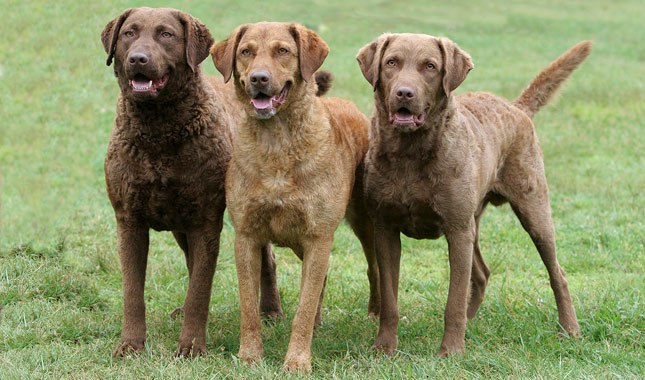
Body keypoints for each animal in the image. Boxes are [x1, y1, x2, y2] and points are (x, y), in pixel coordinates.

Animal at [100, 8, 282, 360]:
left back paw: (270, 311)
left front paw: (192, 346)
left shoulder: (205, 222)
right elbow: (133, 292)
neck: (158, 131)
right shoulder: (129, 220)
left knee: (264, 260)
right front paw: (130, 345)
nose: (137, 58)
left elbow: (200, 289)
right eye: (129, 33)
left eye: (166, 34)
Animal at [211, 23, 380, 372]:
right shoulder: (246, 235)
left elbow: (303, 306)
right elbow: (249, 306)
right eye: (245, 52)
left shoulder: (318, 236)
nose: (259, 78)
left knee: (373, 268)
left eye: (283, 51)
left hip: (363, 221)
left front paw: (298, 361)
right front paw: (249, 356)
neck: (276, 142)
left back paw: (375, 312)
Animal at [358, 34, 588, 358]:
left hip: (533, 211)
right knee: (481, 273)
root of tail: (515, 107)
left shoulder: (456, 229)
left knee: (558, 273)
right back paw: (471, 323)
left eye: (430, 66)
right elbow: (390, 298)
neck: (410, 155)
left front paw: (451, 351)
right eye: (391, 62)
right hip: (473, 222)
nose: (404, 93)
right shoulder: (385, 228)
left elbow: (453, 299)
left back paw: (570, 329)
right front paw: (384, 347)